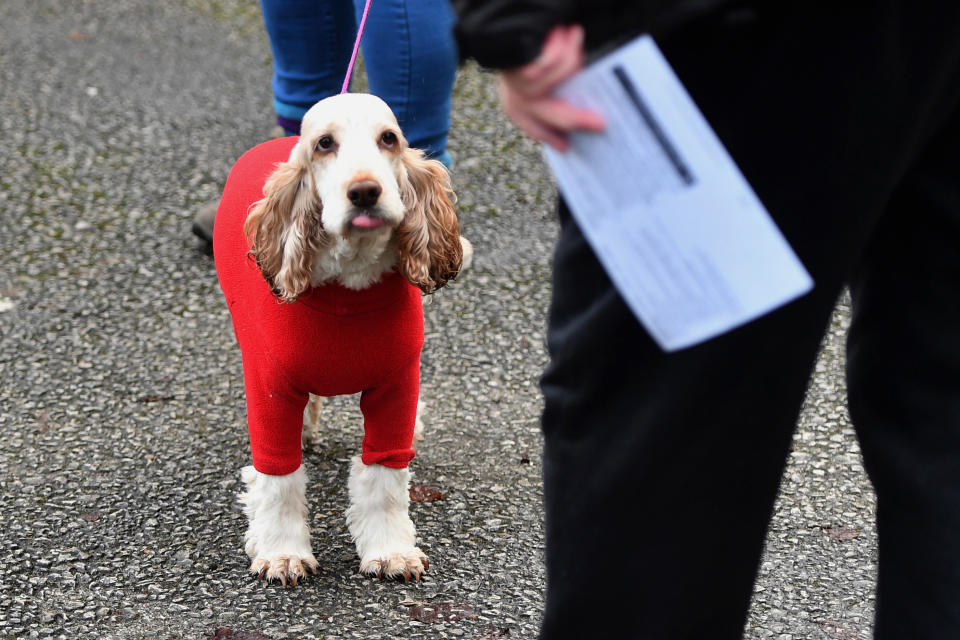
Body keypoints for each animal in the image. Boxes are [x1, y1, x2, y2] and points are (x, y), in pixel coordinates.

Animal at [216, 92, 474, 588]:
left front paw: (391, 551)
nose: (365, 191)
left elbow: (385, 478)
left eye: (389, 138)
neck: (349, 287)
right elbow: (278, 479)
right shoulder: (271, 388)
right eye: (324, 144)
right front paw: (283, 554)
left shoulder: (397, 387)